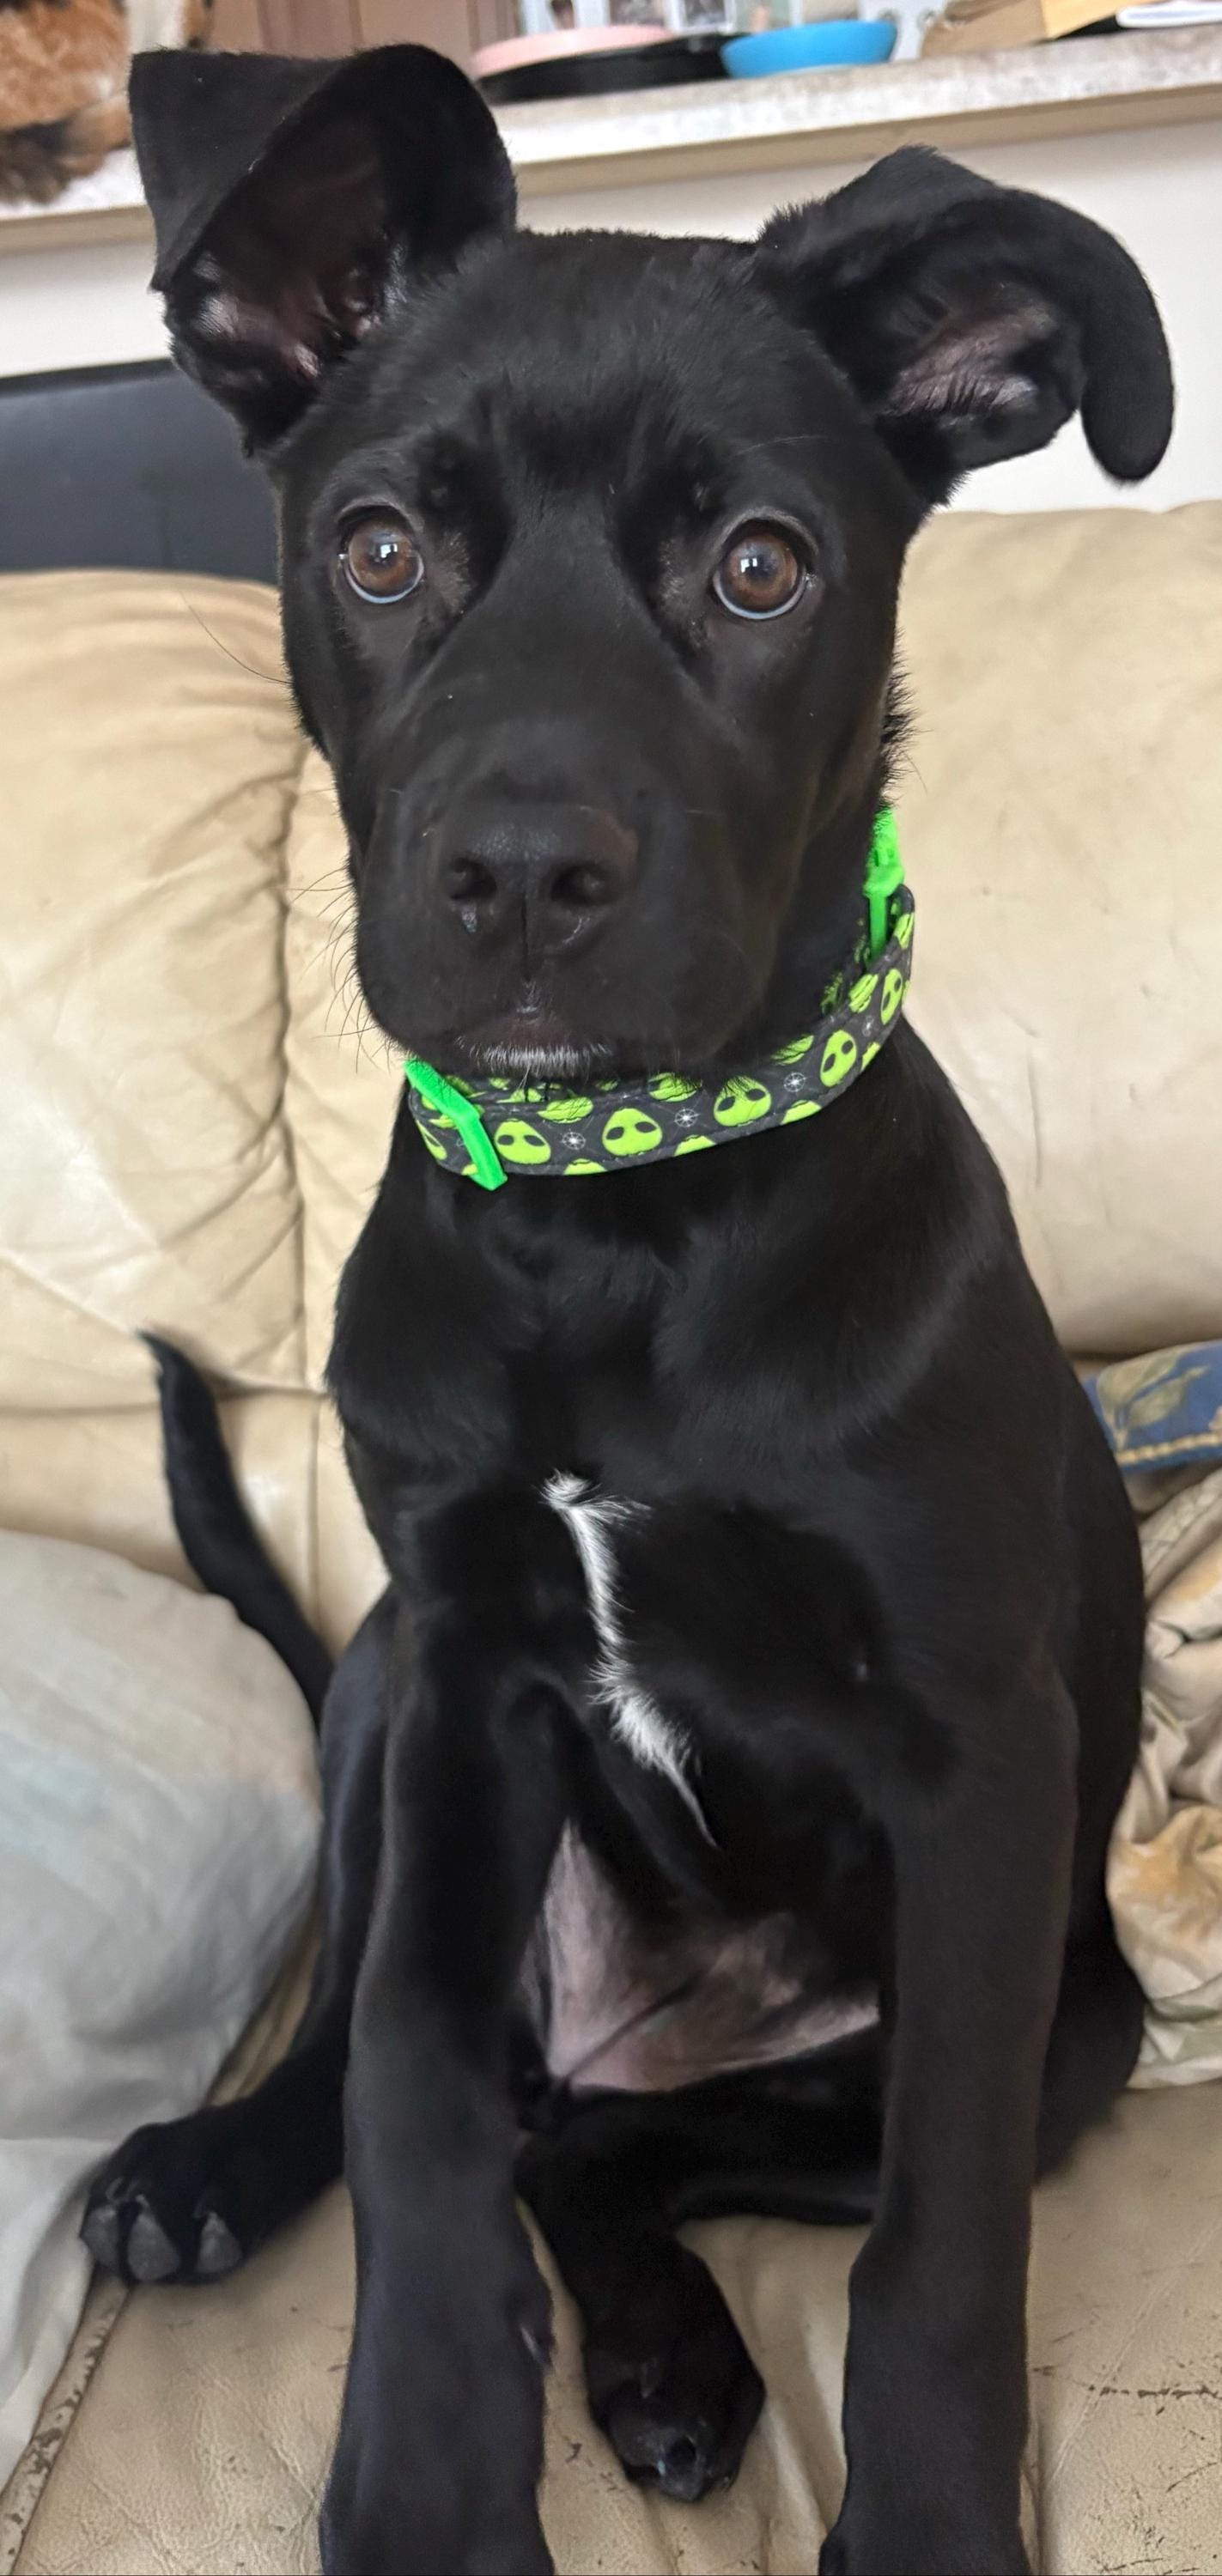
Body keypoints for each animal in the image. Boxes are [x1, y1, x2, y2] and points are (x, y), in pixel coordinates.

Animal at [80, 40, 1173, 2576]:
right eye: (376, 546)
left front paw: (929, 2523)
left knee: (629, 2137)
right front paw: (414, 2471)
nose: (517, 875)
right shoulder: (465, 1668)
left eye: (759, 567)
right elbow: (404, 2082)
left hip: (1057, 2023)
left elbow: (937, 2240)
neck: (616, 1230)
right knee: (459, 2082)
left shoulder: (977, 1764)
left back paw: (670, 2363)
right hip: (375, 1689)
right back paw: (219, 2170)